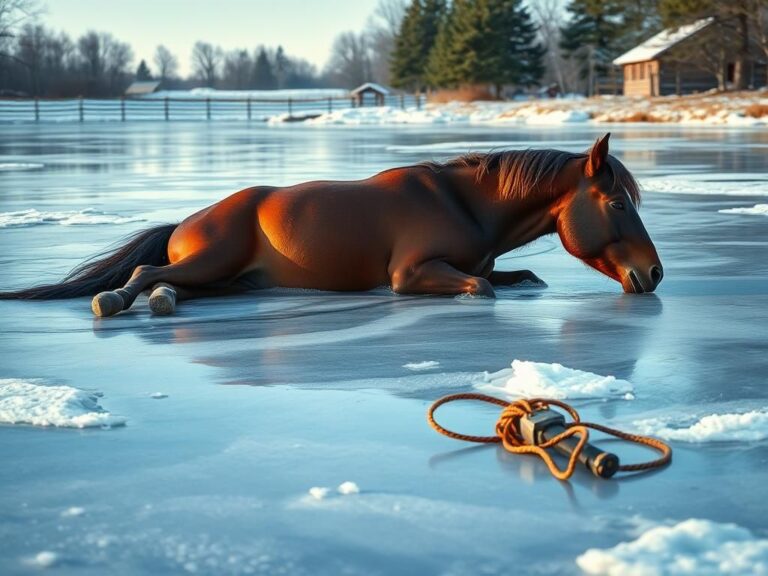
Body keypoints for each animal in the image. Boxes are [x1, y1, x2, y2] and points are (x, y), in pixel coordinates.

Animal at [0, 133, 660, 318]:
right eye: (618, 205)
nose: (653, 274)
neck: (465, 203)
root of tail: (187, 221)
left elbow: (518, 278)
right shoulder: (410, 274)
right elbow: (481, 287)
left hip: (229, 278)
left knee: (171, 284)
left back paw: (163, 302)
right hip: (212, 259)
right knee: (143, 271)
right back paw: (116, 300)